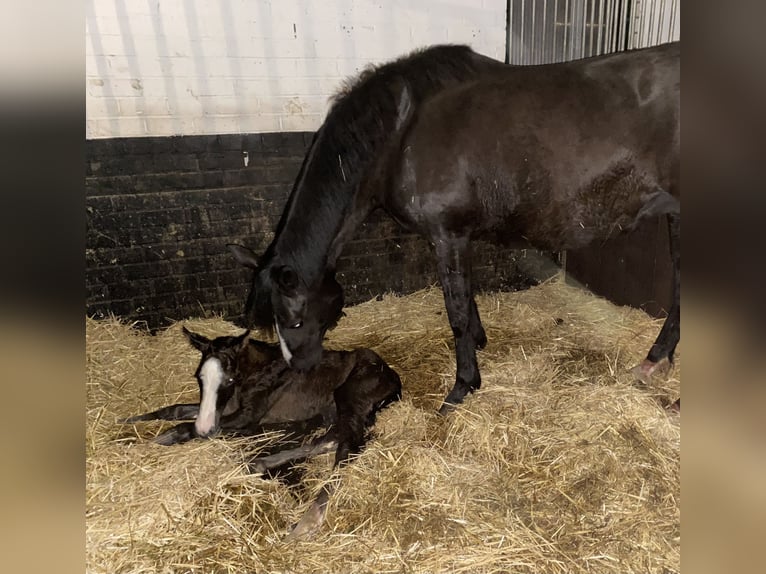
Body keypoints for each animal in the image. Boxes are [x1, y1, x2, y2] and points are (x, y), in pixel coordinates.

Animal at [231, 44, 680, 414]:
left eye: (292, 321)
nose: (301, 368)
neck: (401, 132)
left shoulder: (447, 235)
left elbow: (457, 312)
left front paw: (463, 386)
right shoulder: (457, 238)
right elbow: (468, 298)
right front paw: (479, 343)